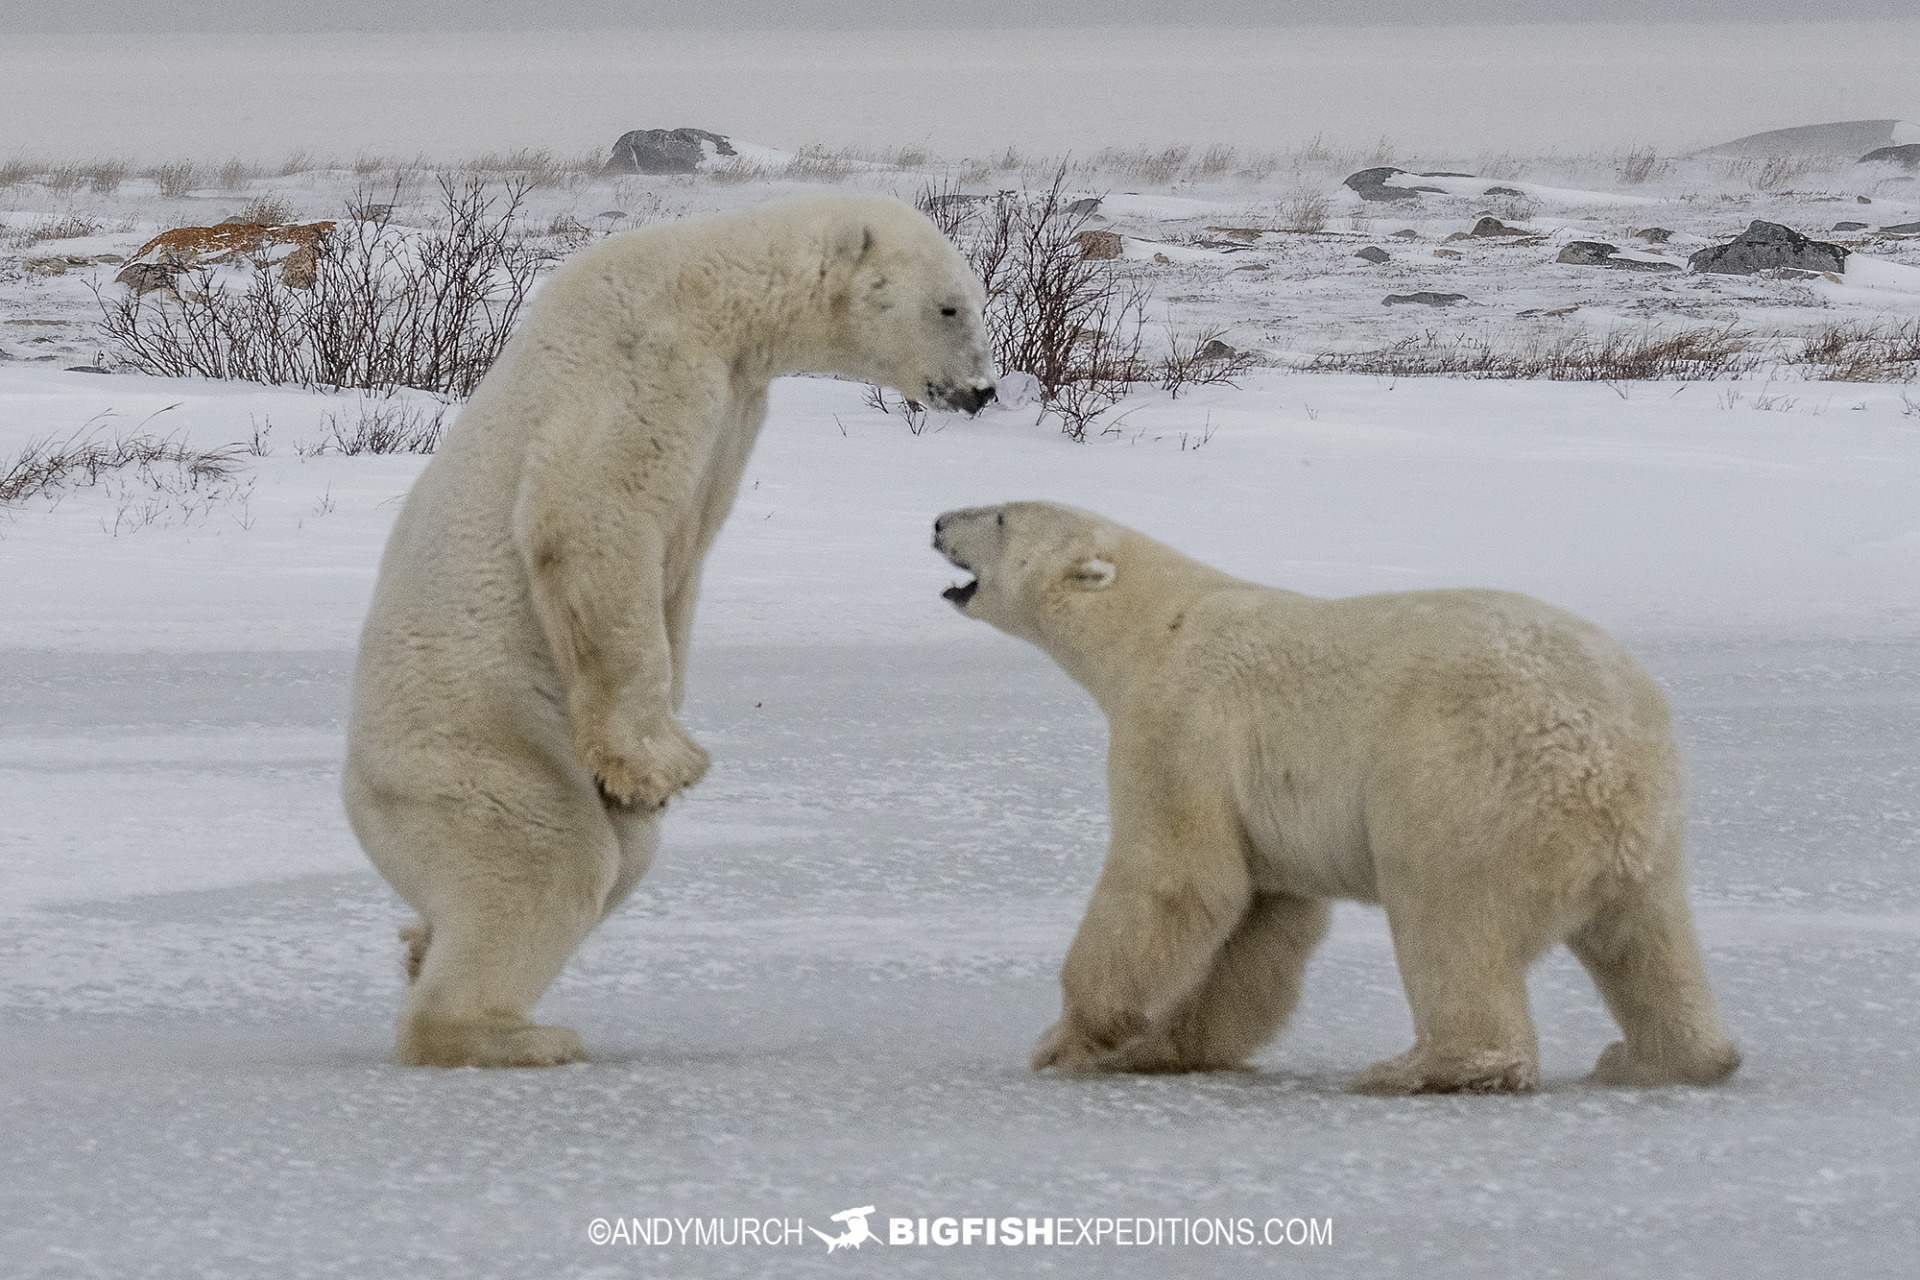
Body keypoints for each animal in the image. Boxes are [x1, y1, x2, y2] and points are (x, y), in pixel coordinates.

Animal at [345, 195, 998, 1066]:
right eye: (951, 307)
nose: (982, 390)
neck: (708, 289)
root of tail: (363, 800)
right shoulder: (641, 363)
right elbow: (594, 521)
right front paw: (662, 763)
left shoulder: (736, 409)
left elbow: (678, 572)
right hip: (479, 750)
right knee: (549, 857)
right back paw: (509, 1032)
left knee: (617, 857)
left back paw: (423, 943)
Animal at [936, 498, 1751, 1090]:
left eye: (1001, 516)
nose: (938, 522)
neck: (1158, 626)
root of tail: (1608, 759)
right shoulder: (1260, 809)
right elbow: (1258, 922)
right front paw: (1164, 1047)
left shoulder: (1181, 727)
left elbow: (1175, 879)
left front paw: (1067, 1041)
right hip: (1646, 835)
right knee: (1648, 944)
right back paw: (1659, 1058)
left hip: (1469, 788)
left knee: (1446, 916)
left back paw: (1420, 1067)